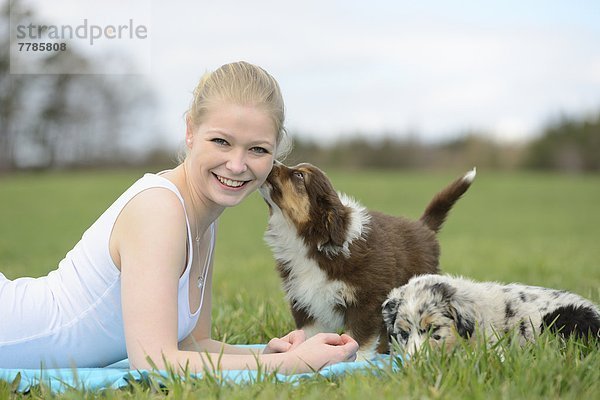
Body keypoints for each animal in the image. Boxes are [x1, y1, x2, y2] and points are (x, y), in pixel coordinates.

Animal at [260, 162, 476, 360]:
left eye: (299, 175)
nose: (272, 163)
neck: (310, 242)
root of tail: (423, 226)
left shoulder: (367, 301)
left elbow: (358, 339)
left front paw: (358, 364)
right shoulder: (305, 302)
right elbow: (308, 335)